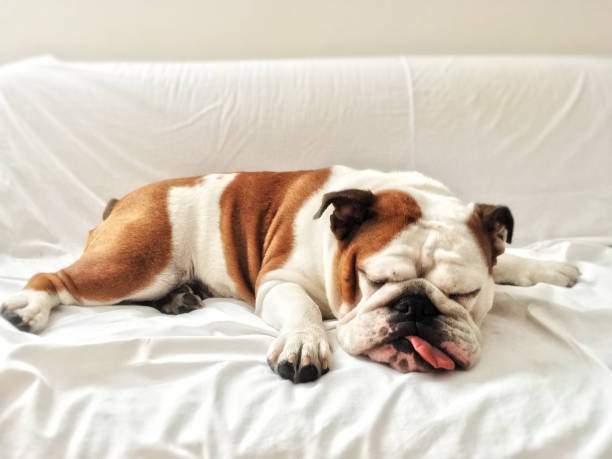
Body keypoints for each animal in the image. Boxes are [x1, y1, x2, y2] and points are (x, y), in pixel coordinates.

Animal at [1, 167, 580, 382]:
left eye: (465, 293)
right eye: (372, 280)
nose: (415, 306)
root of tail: (127, 198)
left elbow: (512, 260)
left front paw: (552, 267)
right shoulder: (280, 283)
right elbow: (302, 311)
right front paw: (305, 343)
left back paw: (179, 301)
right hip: (136, 261)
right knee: (59, 278)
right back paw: (30, 306)